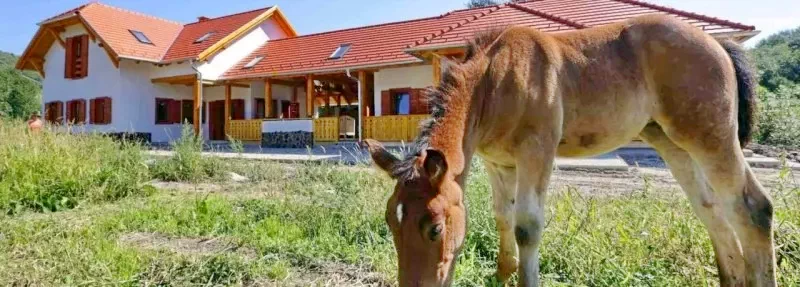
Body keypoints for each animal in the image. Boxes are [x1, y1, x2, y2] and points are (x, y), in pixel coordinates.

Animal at [368, 14, 776, 286]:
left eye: (435, 228)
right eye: (390, 221)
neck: (493, 81)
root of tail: (718, 43)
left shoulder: (536, 152)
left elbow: (527, 226)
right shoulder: (499, 164)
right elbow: (503, 217)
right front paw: (503, 274)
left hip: (710, 137)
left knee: (753, 208)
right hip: (672, 144)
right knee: (712, 209)